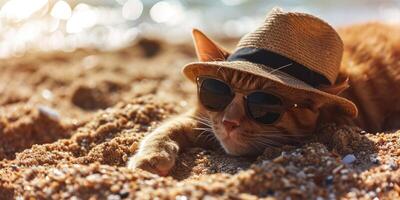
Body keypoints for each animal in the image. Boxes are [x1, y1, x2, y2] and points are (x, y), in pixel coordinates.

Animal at [126, 8, 398, 176]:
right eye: (216, 92)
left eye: (265, 106)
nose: (229, 122)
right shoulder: (199, 118)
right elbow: (165, 128)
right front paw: (152, 155)